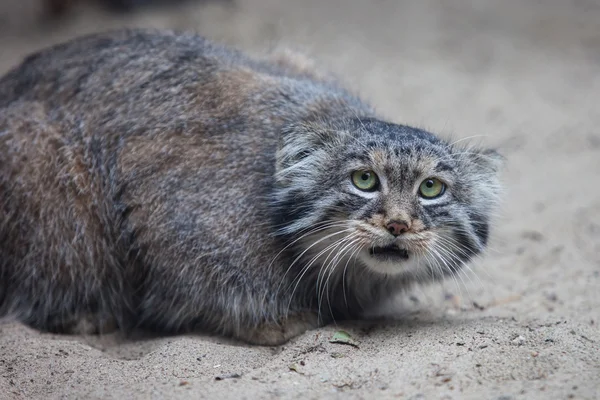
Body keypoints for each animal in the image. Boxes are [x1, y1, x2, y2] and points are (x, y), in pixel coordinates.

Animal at [0, 29, 502, 346]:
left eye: (431, 188)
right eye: (363, 180)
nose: (398, 224)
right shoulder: (171, 207)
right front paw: (270, 322)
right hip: (41, 158)